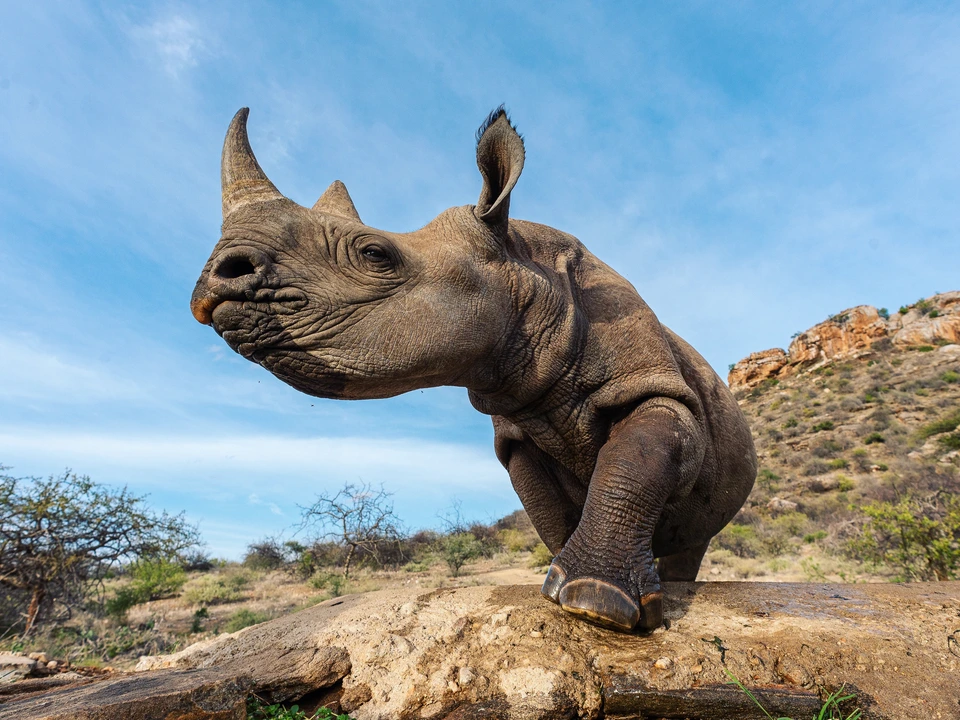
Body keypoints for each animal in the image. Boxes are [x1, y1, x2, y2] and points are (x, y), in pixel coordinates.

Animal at [191, 108, 757, 632]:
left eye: (375, 253)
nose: (221, 278)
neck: (528, 272)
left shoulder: (653, 387)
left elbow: (635, 459)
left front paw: (597, 605)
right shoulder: (516, 428)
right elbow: (548, 509)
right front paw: (562, 582)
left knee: (692, 536)